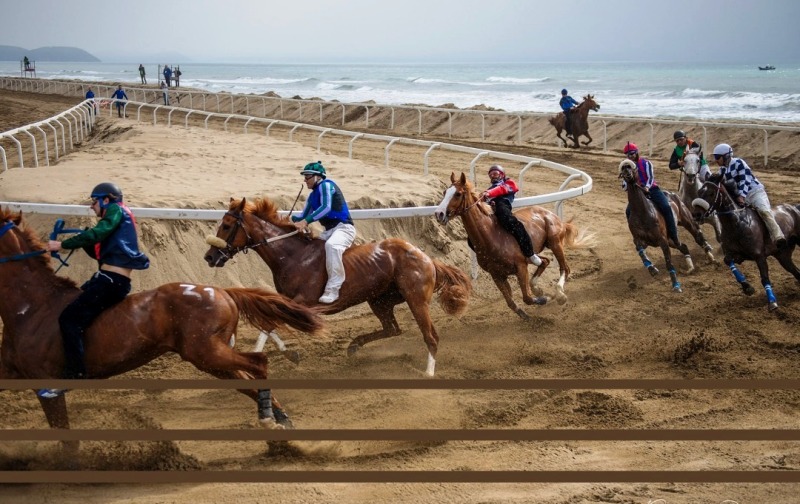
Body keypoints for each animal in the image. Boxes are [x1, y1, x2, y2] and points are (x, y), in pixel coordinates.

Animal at [0, 209, 324, 452]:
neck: (34, 307)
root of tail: (223, 291)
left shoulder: (48, 386)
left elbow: (67, 439)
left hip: (207, 353)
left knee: (259, 363)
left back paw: (270, 420)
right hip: (211, 359)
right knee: (248, 381)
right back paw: (279, 422)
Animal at [203, 195, 472, 376]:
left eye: (226, 225)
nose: (209, 257)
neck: (292, 255)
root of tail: (426, 257)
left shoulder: (302, 303)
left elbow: (269, 326)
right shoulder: (288, 303)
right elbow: (269, 326)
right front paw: (290, 354)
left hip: (416, 299)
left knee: (430, 335)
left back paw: (428, 372)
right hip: (379, 300)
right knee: (393, 329)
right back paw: (353, 347)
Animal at [432, 171, 592, 320]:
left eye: (458, 194)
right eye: (445, 192)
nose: (439, 213)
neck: (491, 236)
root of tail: (552, 215)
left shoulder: (520, 267)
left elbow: (527, 297)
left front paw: (545, 299)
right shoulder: (497, 275)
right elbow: (510, 302)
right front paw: (527, 313)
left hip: (555, 243)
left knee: (564, 268)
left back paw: (559, 294)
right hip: (532, 253)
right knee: (545, 261)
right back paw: (538, 288)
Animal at [616, 158, 716, 292]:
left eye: (632, 168)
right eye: (623, 168)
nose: (627, 173)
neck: (643, 212)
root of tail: (673, 195)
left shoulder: (662, 240)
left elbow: (669, 263)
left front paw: (676, 285)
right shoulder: (639, 239)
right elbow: (641, 253)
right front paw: (652, 269)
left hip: (687, 222)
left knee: (698, 237)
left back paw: (711, 256)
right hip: (671, 240)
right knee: (684, 246)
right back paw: (690, 268)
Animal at [692, 179, 800, 310]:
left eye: (712, 193)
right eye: (699, 191)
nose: (696, 214)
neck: (737, 223)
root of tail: (794, 208)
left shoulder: (759, 256)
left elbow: (764, 278)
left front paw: (772, 302)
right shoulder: (735, 254)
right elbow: (728, 261)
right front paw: (747, 287)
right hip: (783, 256)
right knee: (796, 272)